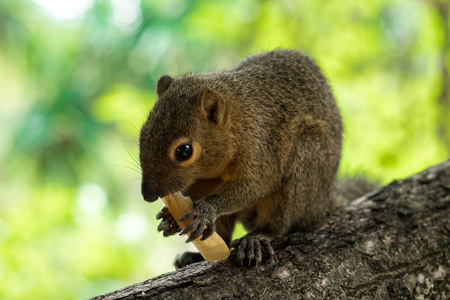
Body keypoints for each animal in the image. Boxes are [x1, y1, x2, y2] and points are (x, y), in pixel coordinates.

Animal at [141, 49, 372, 268]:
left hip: (303, 164)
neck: (237, 120)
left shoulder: (260, 147)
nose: (147, 195)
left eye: (184, 151)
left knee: (279, 223)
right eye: (143, 132)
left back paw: (257, 238)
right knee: (224, 236)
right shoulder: (206, 179)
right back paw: (194, 256)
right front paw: (169, 216)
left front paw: (205, 210)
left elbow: (254, 185)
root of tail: (324, 201)